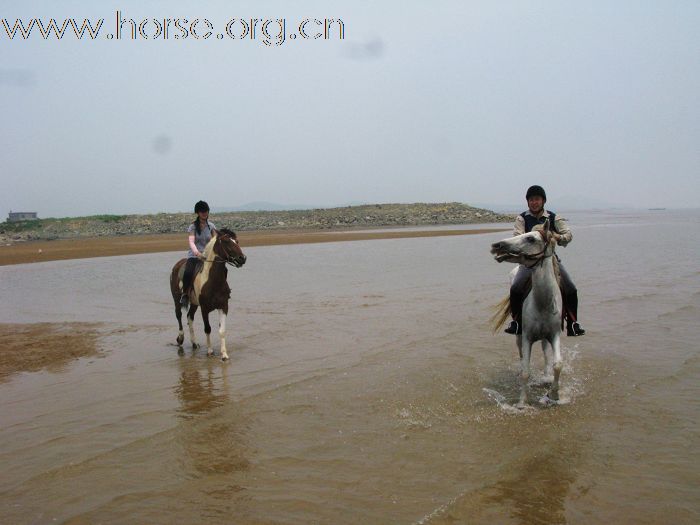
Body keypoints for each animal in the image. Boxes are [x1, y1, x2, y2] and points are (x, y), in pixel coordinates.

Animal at [170, 227, 246, 362]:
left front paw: (224, 355)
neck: (213, 281)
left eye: (236, 241)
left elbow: (222, 330)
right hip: (176, 298)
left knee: (189, 317)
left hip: (194, 303)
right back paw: (180, 339)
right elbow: (207, 328)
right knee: (179, 315)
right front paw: (210, 351)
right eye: (226, 241)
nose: (242, 258)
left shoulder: (223, 306)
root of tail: (177, 265)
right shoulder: (204, 309)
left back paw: (194, 343)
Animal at [490, 219, 568, 408]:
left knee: (546, 353)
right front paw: (522, 402)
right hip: (518, 335)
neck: (543, 304)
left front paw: (553, 394)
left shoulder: (554, 334)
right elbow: (526, 370)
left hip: (545, 338)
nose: (496, 246)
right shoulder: (526, 337)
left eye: (531, 238)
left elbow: (557, 364)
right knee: (520, 356)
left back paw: (546, 377)